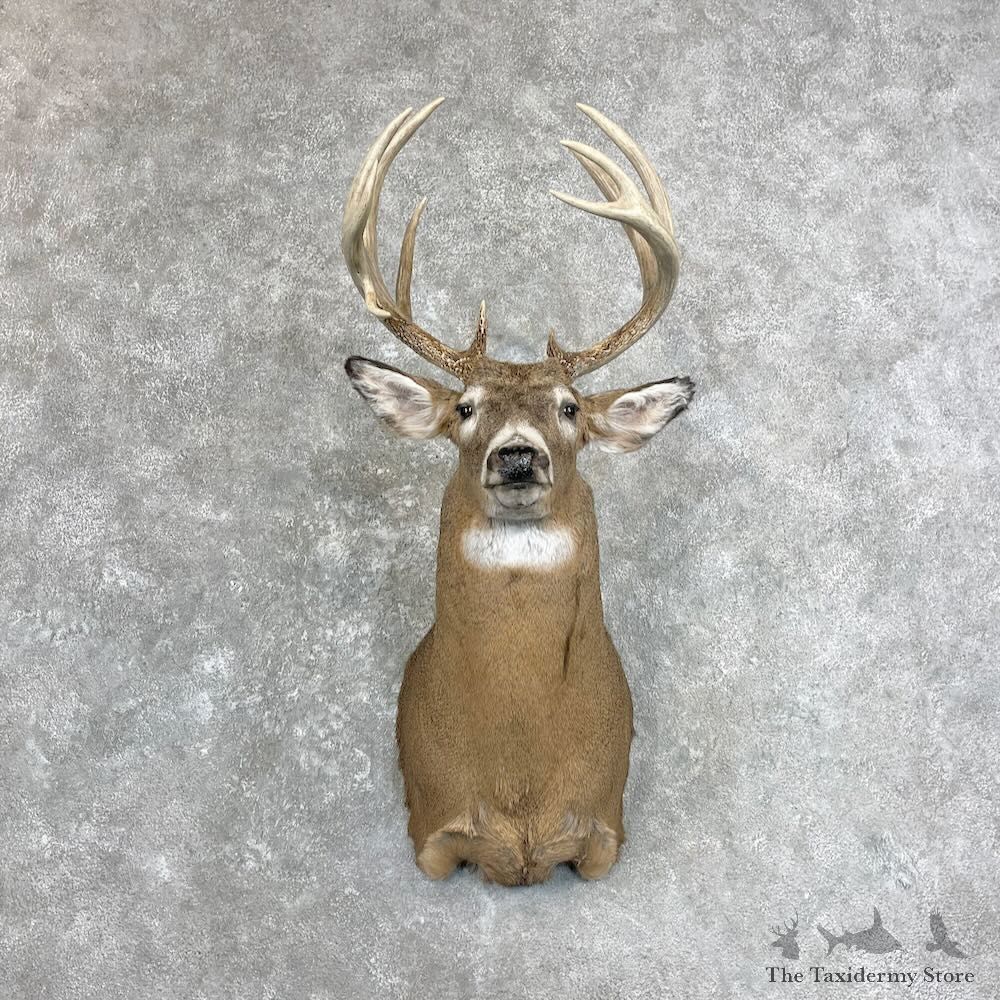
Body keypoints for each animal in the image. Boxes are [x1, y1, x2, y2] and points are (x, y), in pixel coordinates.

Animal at [341, 99, 694, 886]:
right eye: (466, 408)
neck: (522, 781)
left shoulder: (605, 830)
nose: (519, 457)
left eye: (569, 407)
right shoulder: (431, 830)